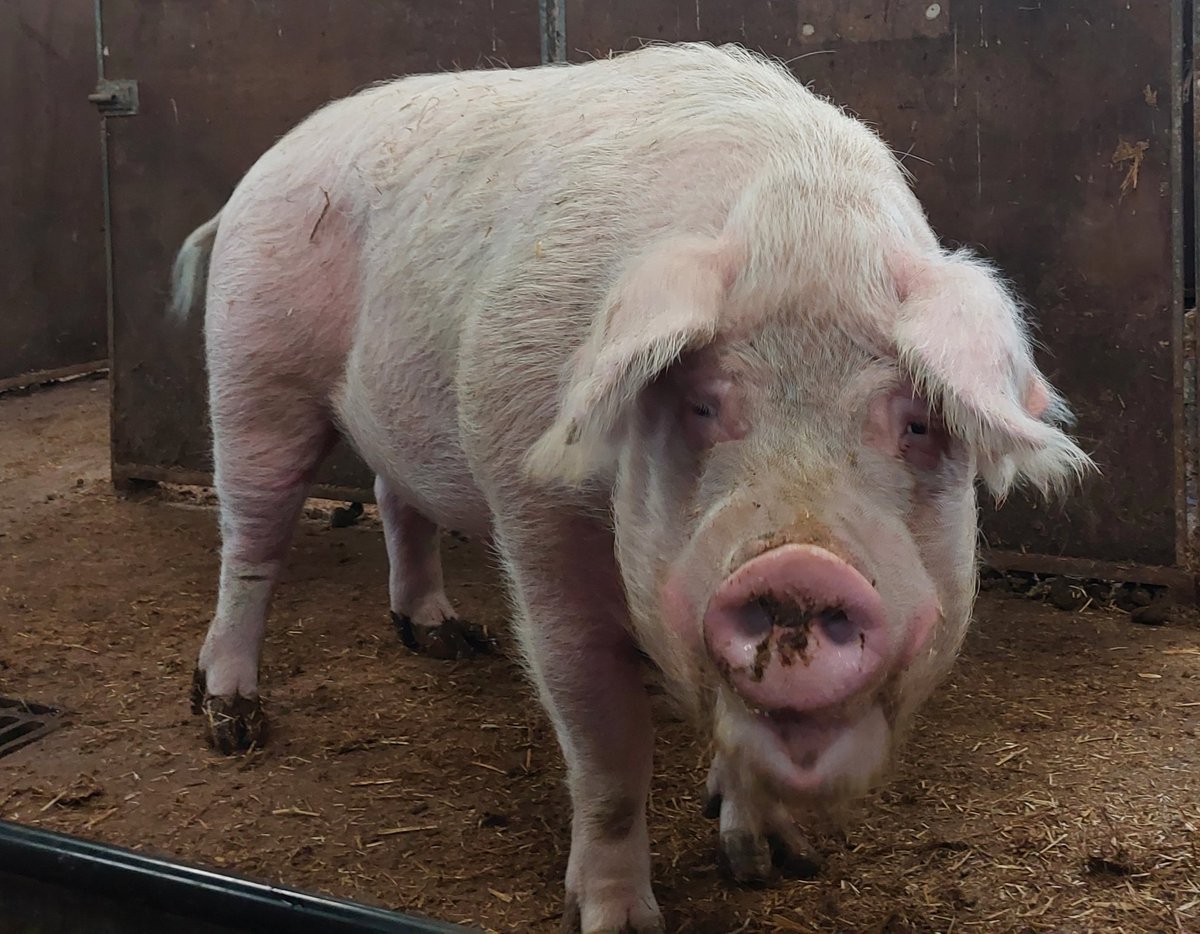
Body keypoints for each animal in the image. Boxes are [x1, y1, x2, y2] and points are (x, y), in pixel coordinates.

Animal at [171, 43, 1090, 932]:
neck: (797, 228)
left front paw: (773, 865)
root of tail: (260, 172)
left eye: (917, 423)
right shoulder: (535, 517)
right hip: (254, 365)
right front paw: (618, 918)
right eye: (702, 403)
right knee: (252, 538)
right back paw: (230, 720)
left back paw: (444, 638)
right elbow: (605, 744)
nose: (801, 567)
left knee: (398, 496)